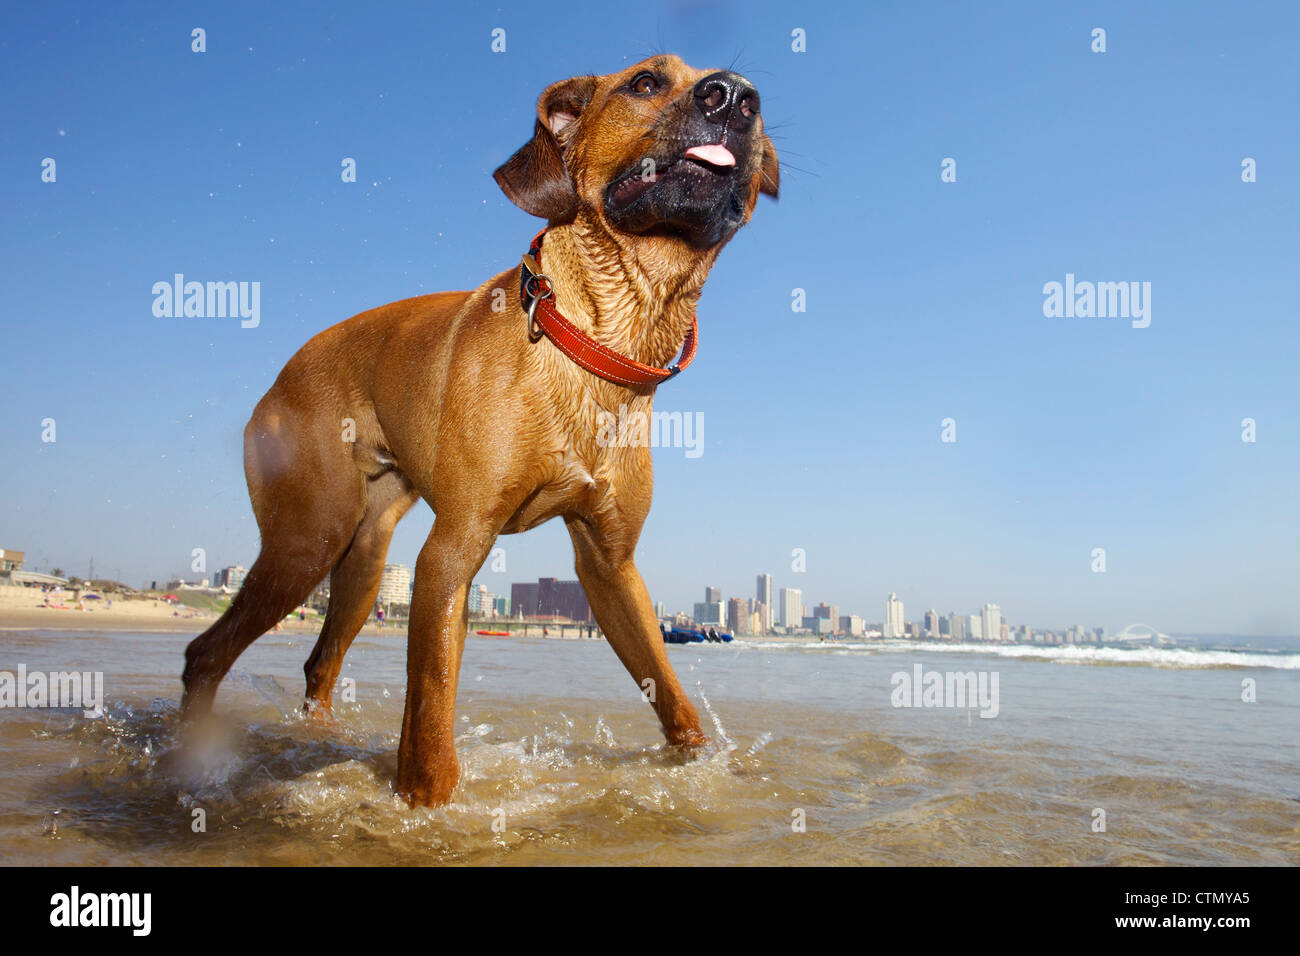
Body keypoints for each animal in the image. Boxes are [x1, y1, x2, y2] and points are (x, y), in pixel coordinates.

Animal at [178, 55, 774, 806]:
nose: (737, 96)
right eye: (644, 82)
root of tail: (281, 375)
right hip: (307, 540)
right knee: (204, 654)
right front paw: (427, 810)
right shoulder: (451, 551)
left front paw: (703, 768)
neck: (593, 343)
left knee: (318, 665)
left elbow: (670, 695)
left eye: (753, 102)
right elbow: (431, 720)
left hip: (363, 562)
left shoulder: (611, 566)